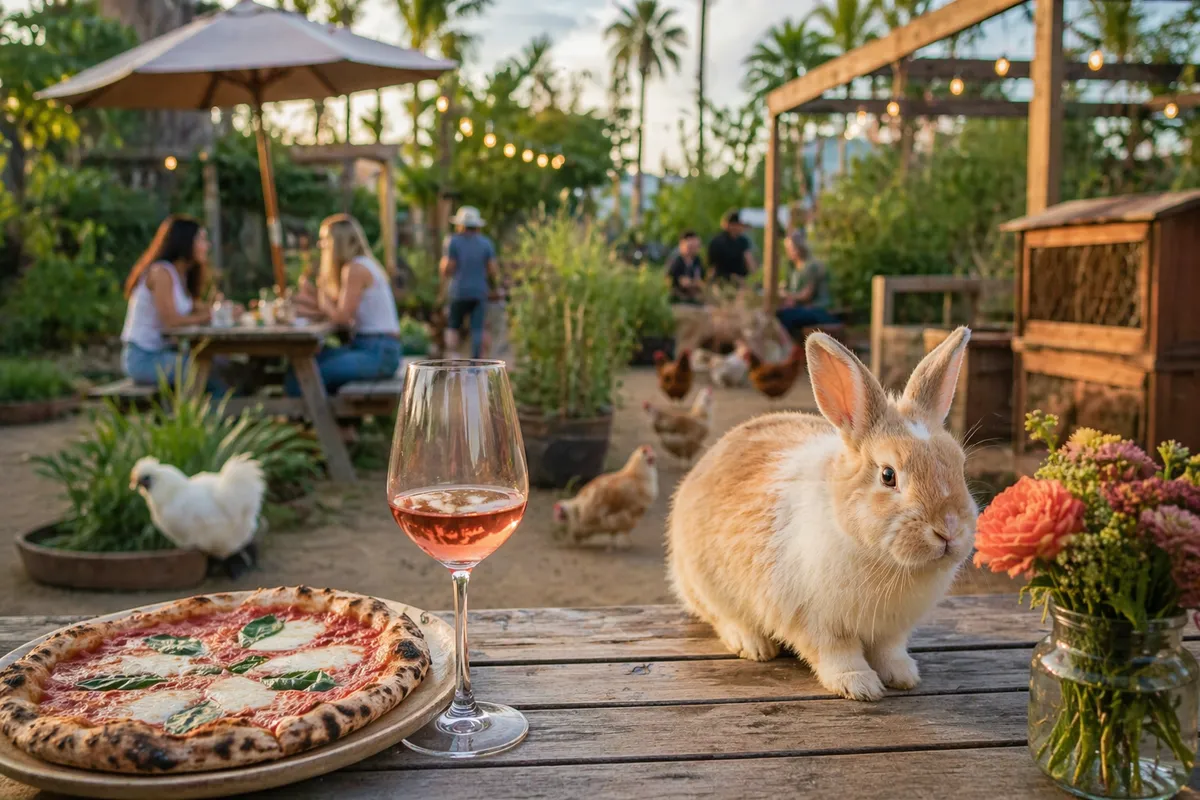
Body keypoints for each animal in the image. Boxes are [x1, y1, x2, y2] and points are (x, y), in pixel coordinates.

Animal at [667, 327, 977, 701]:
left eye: (960, 464)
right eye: (888, 475)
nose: (948, 530)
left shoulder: (891, 630)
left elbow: (889, 651)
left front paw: (903, 676)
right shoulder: (818, 623)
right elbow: (837, 654)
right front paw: (859, 685)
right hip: (705, 582)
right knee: (720, 616)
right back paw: (753, 645)